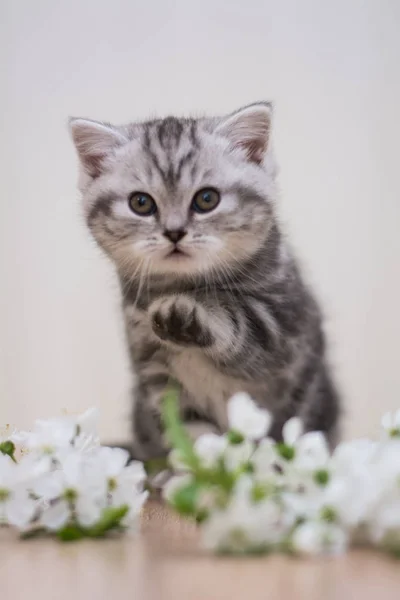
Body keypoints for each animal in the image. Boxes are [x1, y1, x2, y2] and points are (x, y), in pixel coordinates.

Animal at [70, 103, 340, 460]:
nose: (174, 232)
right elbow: (189, 429)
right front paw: (200, 466)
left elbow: (240, 318)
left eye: (207, 199)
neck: (183, 284)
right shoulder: (157, 374)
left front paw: (186, 312)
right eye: (141, 203)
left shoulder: (284, 332)